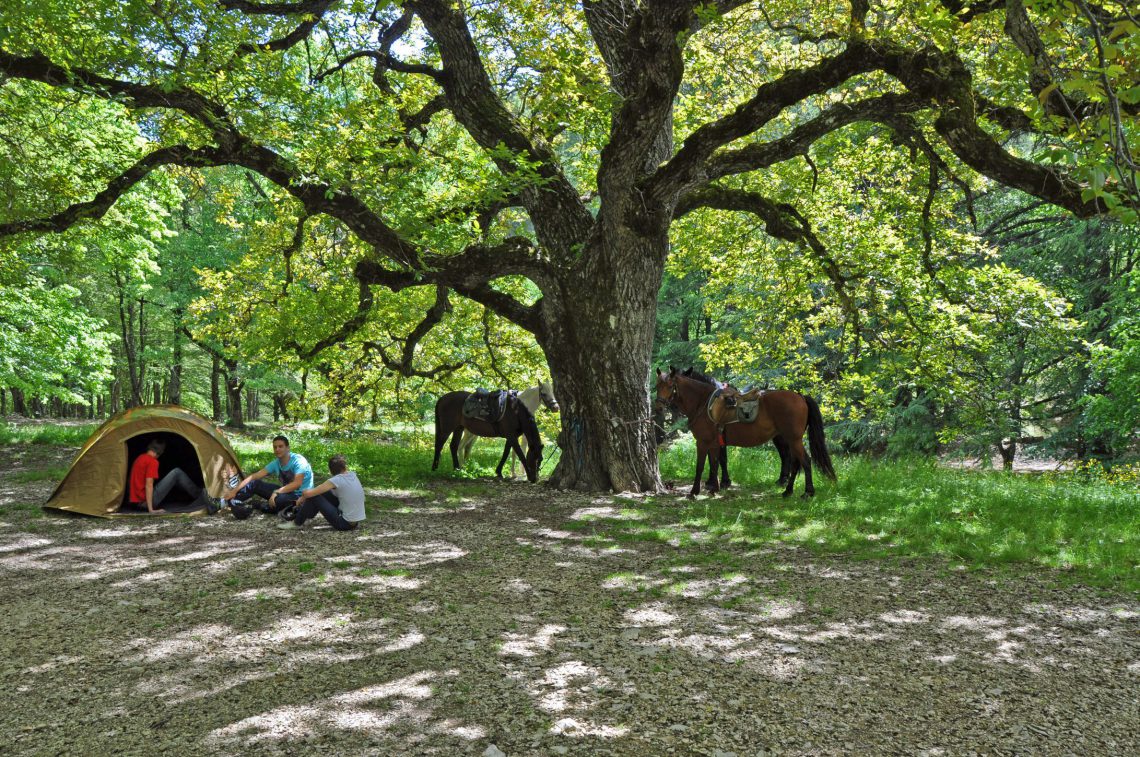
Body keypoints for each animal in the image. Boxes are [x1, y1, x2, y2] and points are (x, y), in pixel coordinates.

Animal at [656, 367, 834, 497]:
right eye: (658, 386)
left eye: (670, 386)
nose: (659, 405)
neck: (703, 403)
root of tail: (800, 397)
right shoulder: (714, 442)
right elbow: (715, 463)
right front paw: (714, 487)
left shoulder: (703, 441)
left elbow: (701, 465)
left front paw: (695, 491)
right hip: (790, 439)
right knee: (795, 462)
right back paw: (788, 490)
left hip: (792, 439)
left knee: (804, 461)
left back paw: (807, 492)